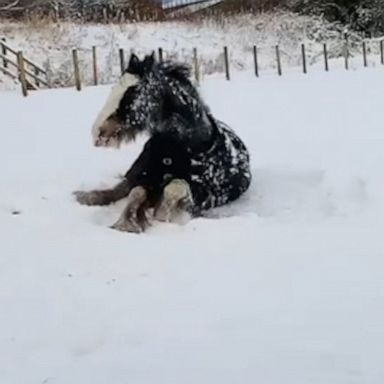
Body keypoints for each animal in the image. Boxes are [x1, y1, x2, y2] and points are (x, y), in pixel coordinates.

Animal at [74, 52, 252, 232]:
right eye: (113, 89)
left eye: (132, 92)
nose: (97, 132)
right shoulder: (145, 179)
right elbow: (137, 191)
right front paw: (126, 223)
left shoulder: (204, 196)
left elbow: (174, 186)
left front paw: (159, 213)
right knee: (120, 188)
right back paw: (85, 196)